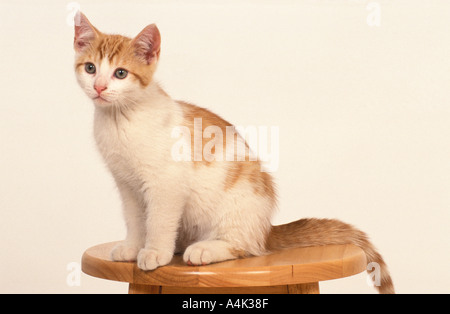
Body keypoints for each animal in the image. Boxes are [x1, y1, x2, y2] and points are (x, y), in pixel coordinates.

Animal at [73, 11, 394, 294]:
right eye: (90, 68)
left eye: (121, 73)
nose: (99, 87)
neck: (120, 119)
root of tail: (266, 229)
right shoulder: (127, 184)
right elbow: (135, 218)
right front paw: (133, 246)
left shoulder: (167, 184)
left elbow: (159, 221)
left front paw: (154, 252)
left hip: (237, 208)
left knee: (245, 247)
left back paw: (204, 249)